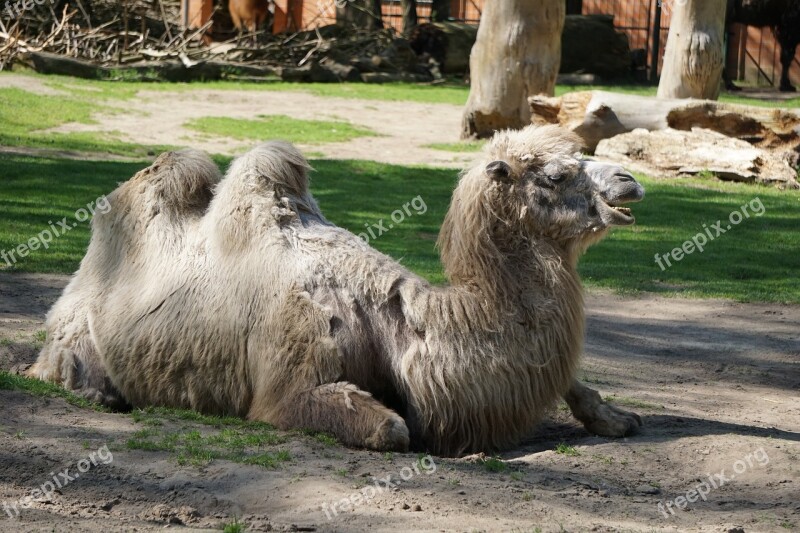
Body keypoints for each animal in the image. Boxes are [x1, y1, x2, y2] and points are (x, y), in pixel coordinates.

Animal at [28, 123, 648, 454]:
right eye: (555, 175)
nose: (629, 180)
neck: (407, 324)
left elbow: (575, 383)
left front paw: (616, 417)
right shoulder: (292, 371)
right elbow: (394, 427)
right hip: (74, 338)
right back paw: (97, 393)